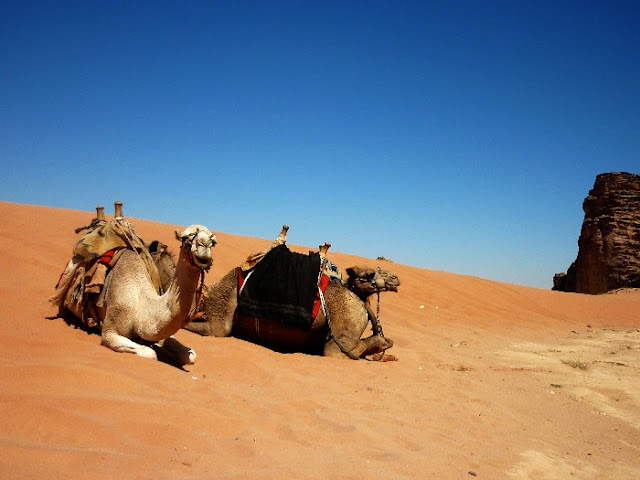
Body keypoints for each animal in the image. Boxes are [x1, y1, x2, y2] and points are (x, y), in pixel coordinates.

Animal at [182, 227, 398, 358]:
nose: (394, 279)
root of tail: (362, 305)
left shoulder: (217, 323)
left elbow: (194, 326)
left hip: (342, 332)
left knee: (343, 350)